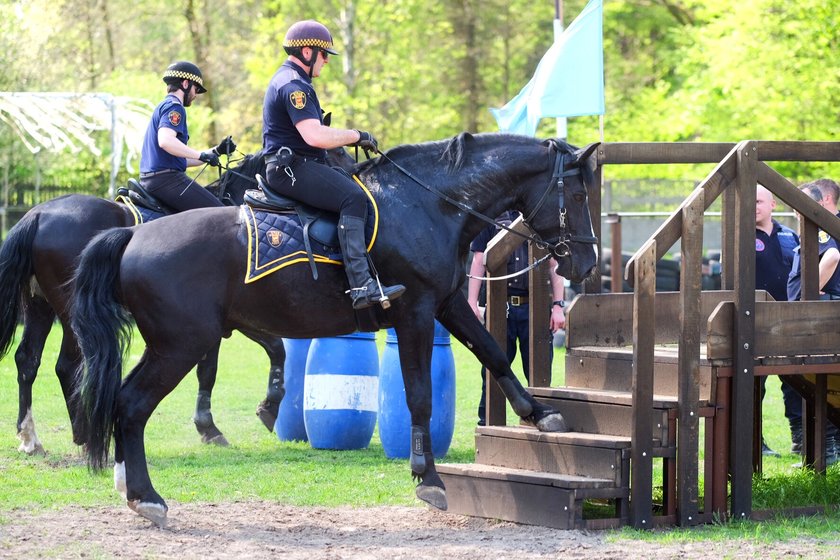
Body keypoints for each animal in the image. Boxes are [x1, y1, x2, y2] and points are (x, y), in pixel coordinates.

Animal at [0, 150, 352, 456]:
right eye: (334, 156)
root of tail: (38, 213)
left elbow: (243, 358)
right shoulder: (230, 320)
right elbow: (223, 366)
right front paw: (212, 427)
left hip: (40, 307)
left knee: (28, 360)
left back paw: (30, 437)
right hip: (70, 313)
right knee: (67, 365)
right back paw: (84, 434)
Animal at [70, 132, 596, 524]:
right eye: (577, 194)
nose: (587, 264)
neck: (429, 205)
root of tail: (132, 233)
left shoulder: (447, 303)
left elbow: (493, 352)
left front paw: (540, 414)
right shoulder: (415, 312)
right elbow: (419, 393)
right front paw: (427, 477)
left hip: (168, 345)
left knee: (123, 402)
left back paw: (130, 484)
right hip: (180, 345)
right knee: (131, 405)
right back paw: (146, 496)